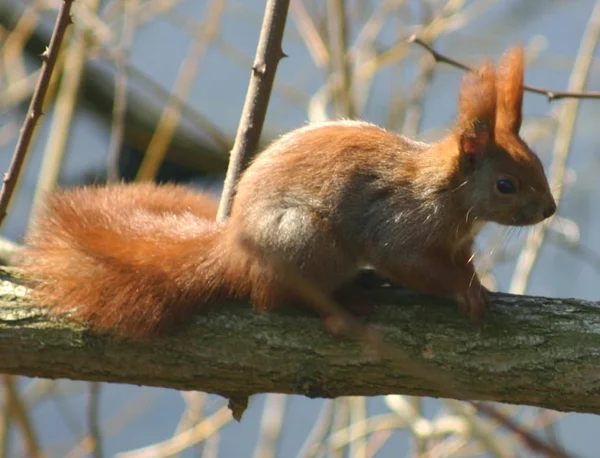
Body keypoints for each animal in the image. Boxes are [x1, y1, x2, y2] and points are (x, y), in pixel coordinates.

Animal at [19, 45, 556, 340]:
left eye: (538, 163)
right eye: (506, 185)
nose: (550, 210)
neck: (450, 194)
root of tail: (235, 253)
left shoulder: (457, 240)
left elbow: (460, 261)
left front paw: (476, 284)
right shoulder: (401, 224)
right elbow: (409, 263)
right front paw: (462, 290)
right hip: (305, 240)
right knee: (281, 297)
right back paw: (342, 310)